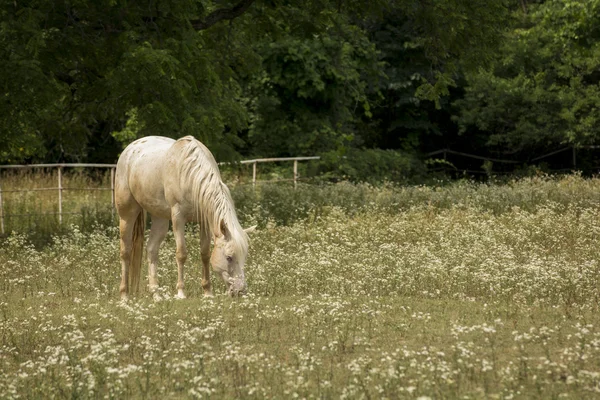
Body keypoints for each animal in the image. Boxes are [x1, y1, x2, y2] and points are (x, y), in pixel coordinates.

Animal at [113, 136, 254, 298]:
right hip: (127, 214)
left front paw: (208, 292)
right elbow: (181, 254)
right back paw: (124, 296)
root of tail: (129, 149)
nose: (240, 291)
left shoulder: (205, 222)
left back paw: (156, 295)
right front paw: (181, 293)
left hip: (160, 218)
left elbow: (205, 254)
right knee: (125, 252)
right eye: (229, 258)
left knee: (152, 250)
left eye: (244, 256)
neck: (191, 175)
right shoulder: (178, 218)